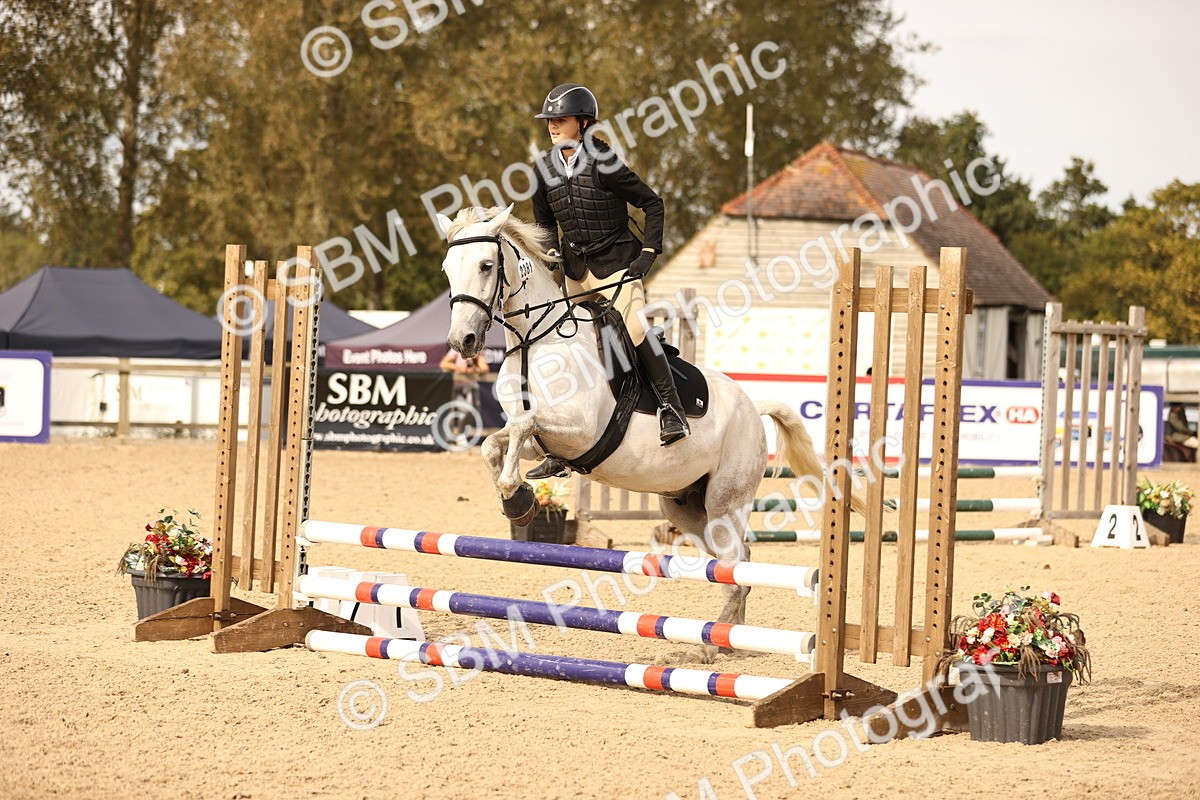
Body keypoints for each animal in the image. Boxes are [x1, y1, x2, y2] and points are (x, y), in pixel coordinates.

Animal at [439, 204, 865, 663]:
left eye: (486, 265)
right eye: (447, 268)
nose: (462, 341)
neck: (535, 341)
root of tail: (753, 407)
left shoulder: (580, 429)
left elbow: (522, 426)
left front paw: (515, 496)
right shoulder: (540, 443)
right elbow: (495, 442)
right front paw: (517, 500)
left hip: (725, 501)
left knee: (736, 559)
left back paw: (709, 649)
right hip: (686, 510)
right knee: (735, 563)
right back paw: (728, 641)